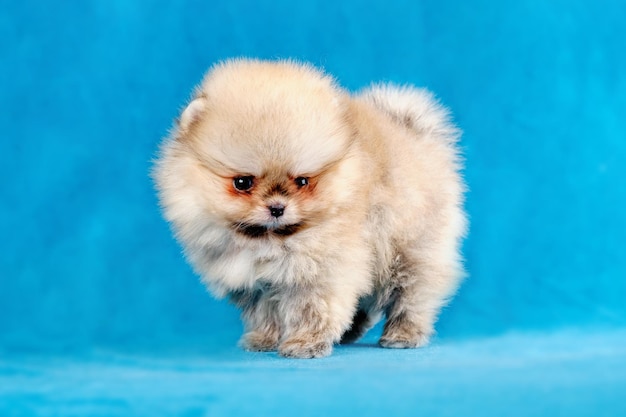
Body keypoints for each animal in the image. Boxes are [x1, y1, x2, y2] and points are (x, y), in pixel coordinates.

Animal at [152, 59, 464, 358]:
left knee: (413, 292)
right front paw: (264, 339)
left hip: (409, 248)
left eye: (302, 181)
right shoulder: (258, 284)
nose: (277, 207)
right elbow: (265, 312)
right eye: (243, 182)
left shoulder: (321, 273)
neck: (270, 241)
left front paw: (305, 344)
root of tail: (415, 134)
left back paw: (403, 334)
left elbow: (313, 310)